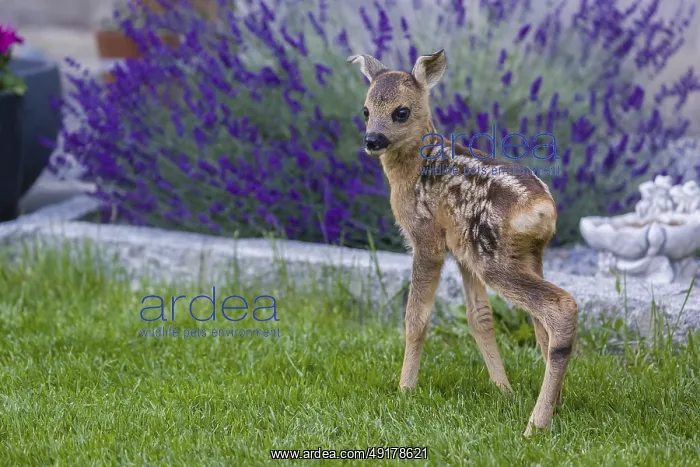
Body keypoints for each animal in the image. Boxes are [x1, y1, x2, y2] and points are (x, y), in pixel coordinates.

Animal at [347, 49, 578, 437]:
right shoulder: (460, 251)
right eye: (365, 110)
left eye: (401, 112)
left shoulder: (426, 239)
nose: (372, 140)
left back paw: (535, 424)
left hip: (493, 258)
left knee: (560, 306)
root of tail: (542, 208)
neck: (414, 169)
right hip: (522, 254)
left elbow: (416, 318)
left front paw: (405, 389)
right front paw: (503, 389)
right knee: (541, 324)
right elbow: (479, 318)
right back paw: (555, 405)